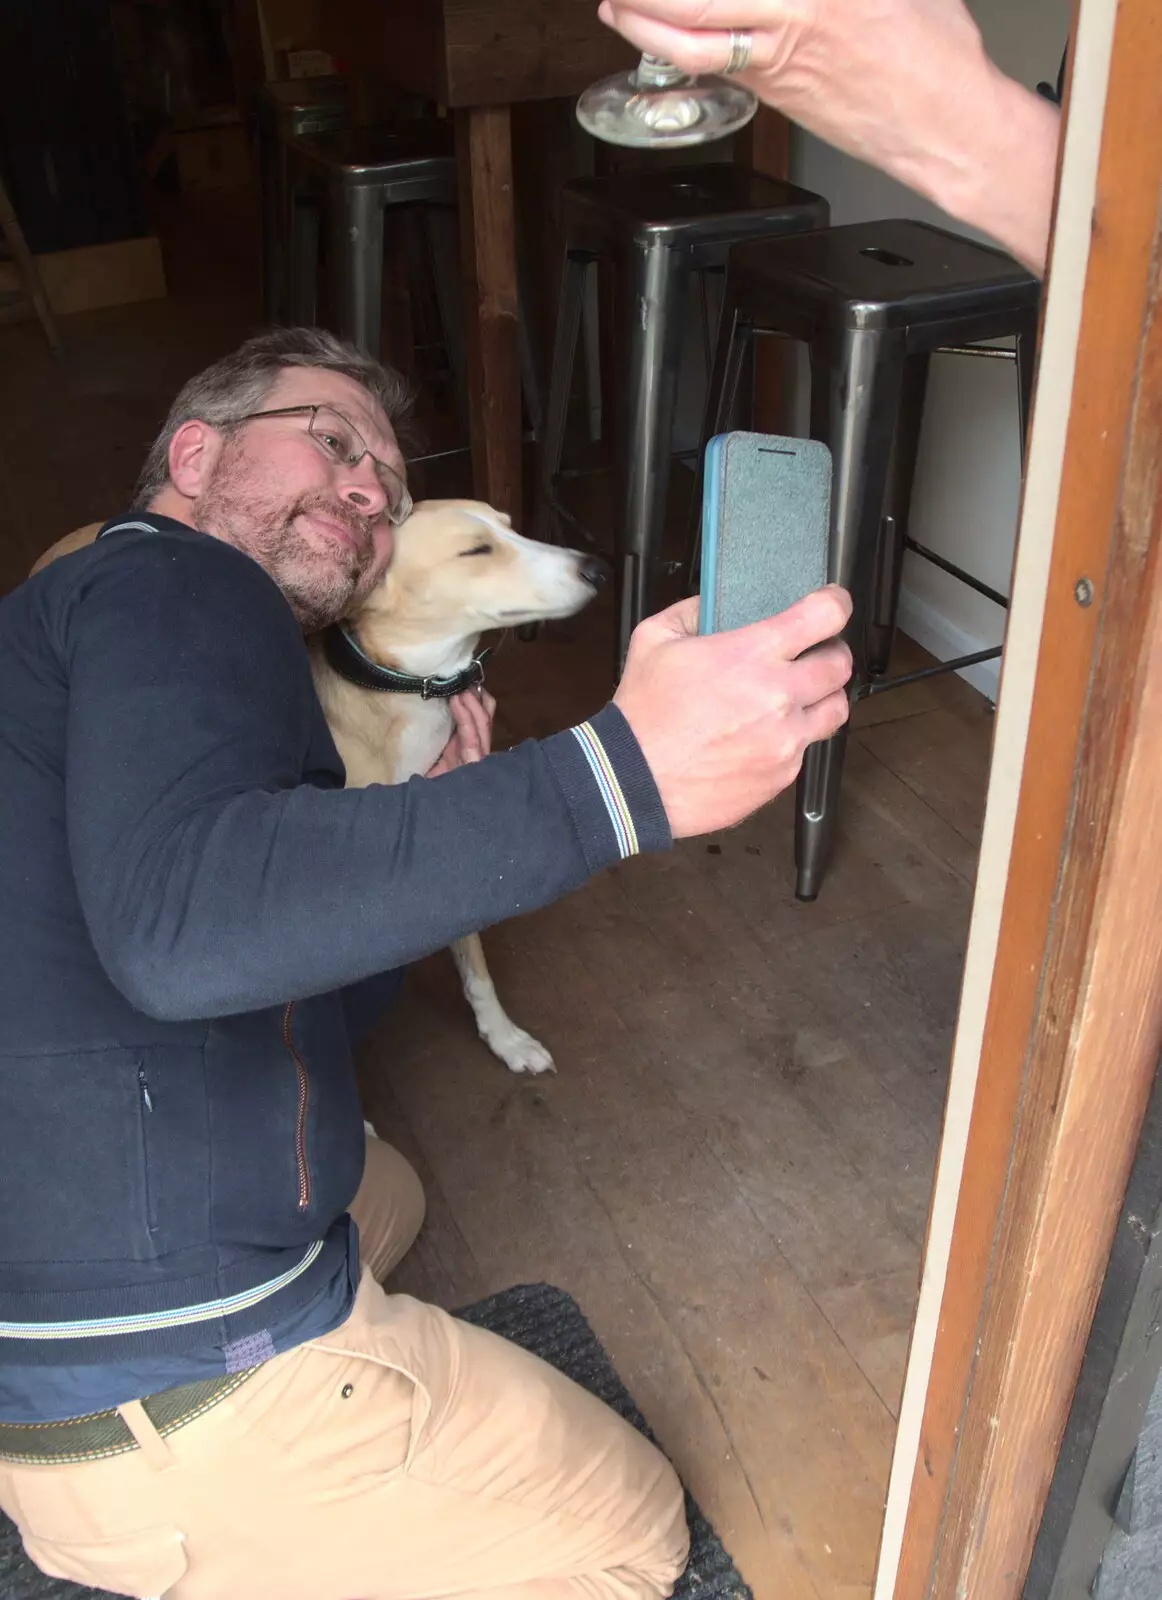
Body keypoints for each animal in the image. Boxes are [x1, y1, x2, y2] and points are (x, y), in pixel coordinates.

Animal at [31, 499, 605, 1075]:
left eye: (512, 527)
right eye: (475, 550)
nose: (597, 569)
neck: (406, 694)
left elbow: (477, 966)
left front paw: (505, 1038)